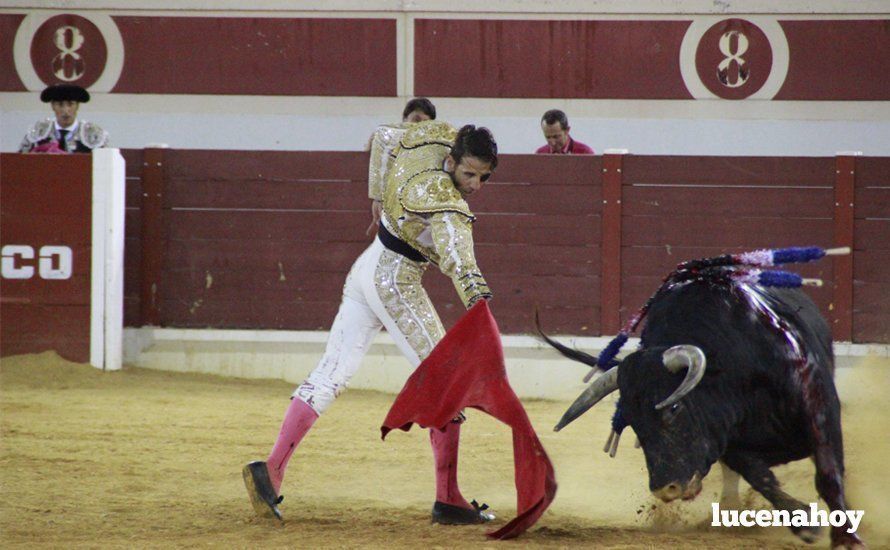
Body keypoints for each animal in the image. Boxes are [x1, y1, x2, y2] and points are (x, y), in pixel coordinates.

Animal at [536, 252, 864, 548]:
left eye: (674, 407)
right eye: (632, 425)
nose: (666, 490)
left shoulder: (820, 410)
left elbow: (828, 475)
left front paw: (846, 538)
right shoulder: (727, 440)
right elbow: (760, 477)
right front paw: (805, 524)